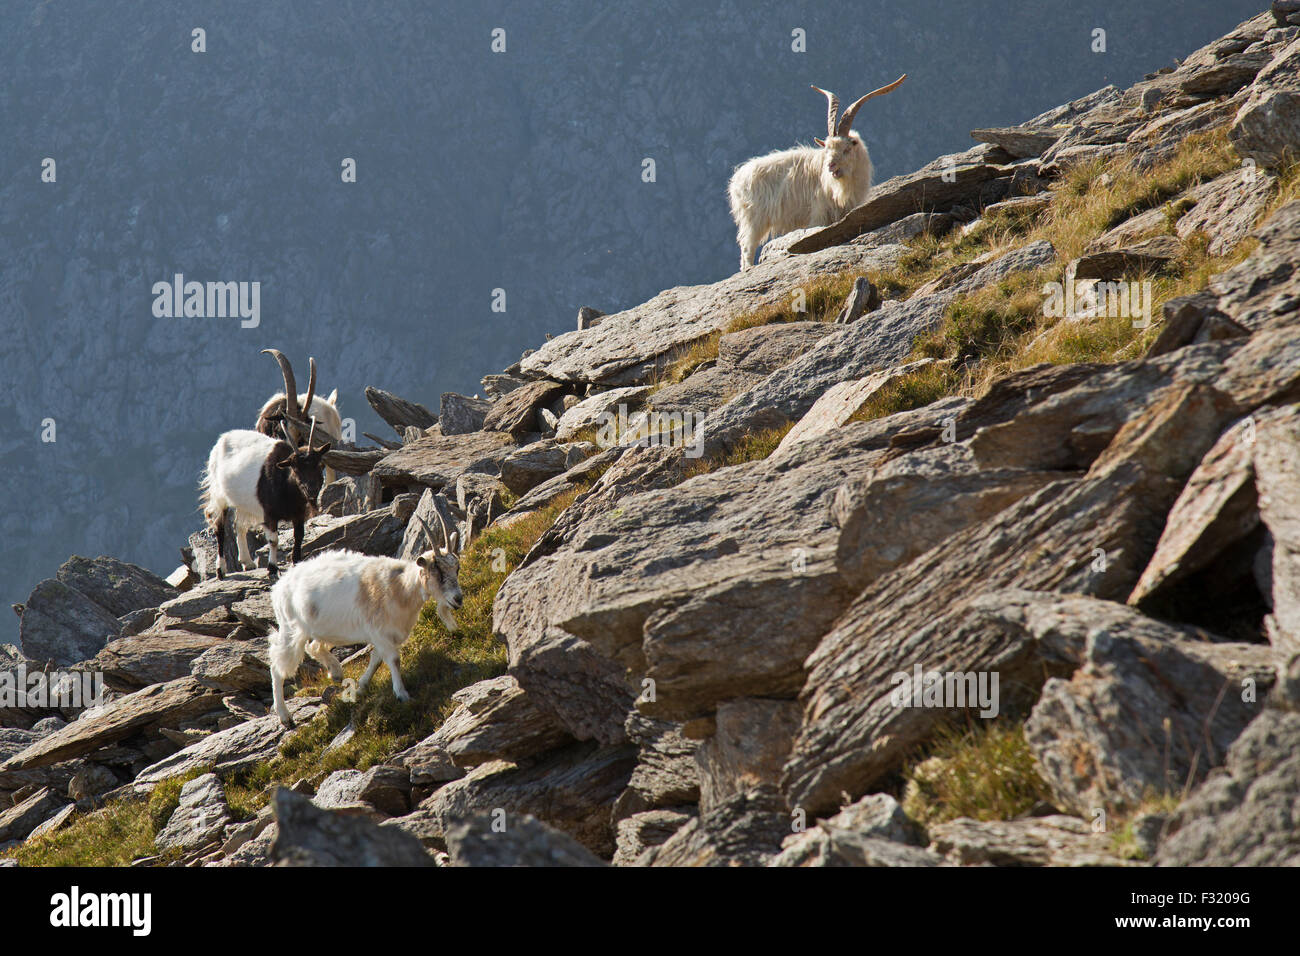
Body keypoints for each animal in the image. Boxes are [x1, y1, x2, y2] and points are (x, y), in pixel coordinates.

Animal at [198, 424, 330, 582]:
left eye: (320, 465)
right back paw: (221, 570)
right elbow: (273, 540)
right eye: (295, 469)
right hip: (219, 494)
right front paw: (272, 569)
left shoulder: (299, 512)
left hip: (244, 502)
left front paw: (296, 562)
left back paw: (247, 562)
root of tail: (222, 439)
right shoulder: (269, 514)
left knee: (239, 526)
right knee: (220, 528)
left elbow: (299, 535)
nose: (311, 490)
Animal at [728, 73, 909, 269]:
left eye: (846, 149)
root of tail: (737, 179)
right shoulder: (818, 214)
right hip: (754, 219)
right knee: (747, 247)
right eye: (827, 148)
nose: (830, 166)